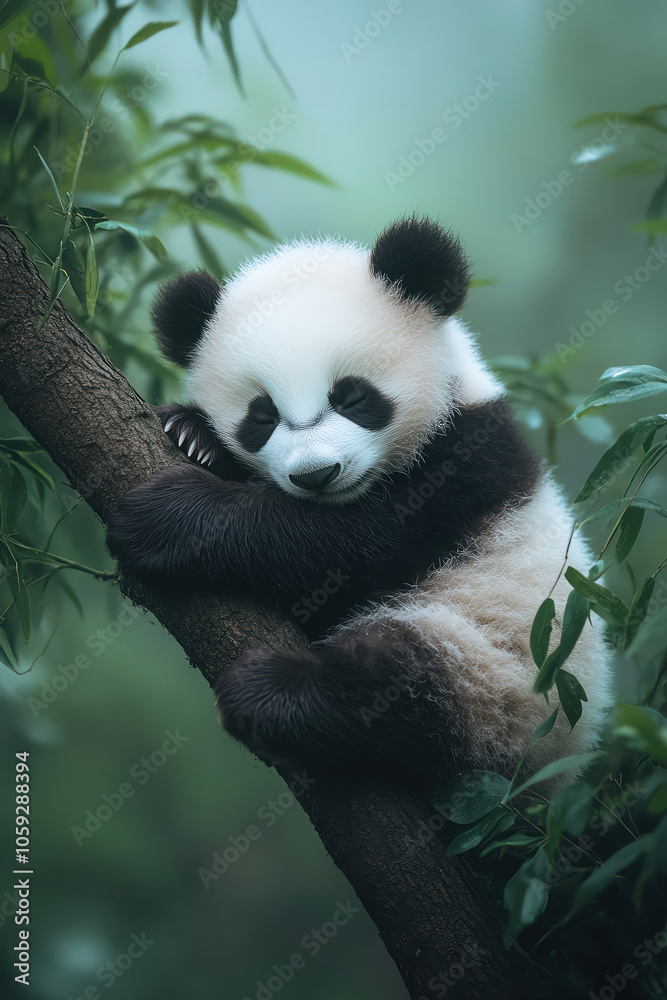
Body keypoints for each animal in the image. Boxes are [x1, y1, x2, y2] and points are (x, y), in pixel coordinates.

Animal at [106, 216, 614, 789]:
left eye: (350, 396)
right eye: (262, 415)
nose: (316, 475)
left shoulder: (469, 464)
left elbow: (350, 544)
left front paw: (165, 517)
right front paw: (194, 436)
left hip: (504, 675)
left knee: (404, 685)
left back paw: (272, 692)